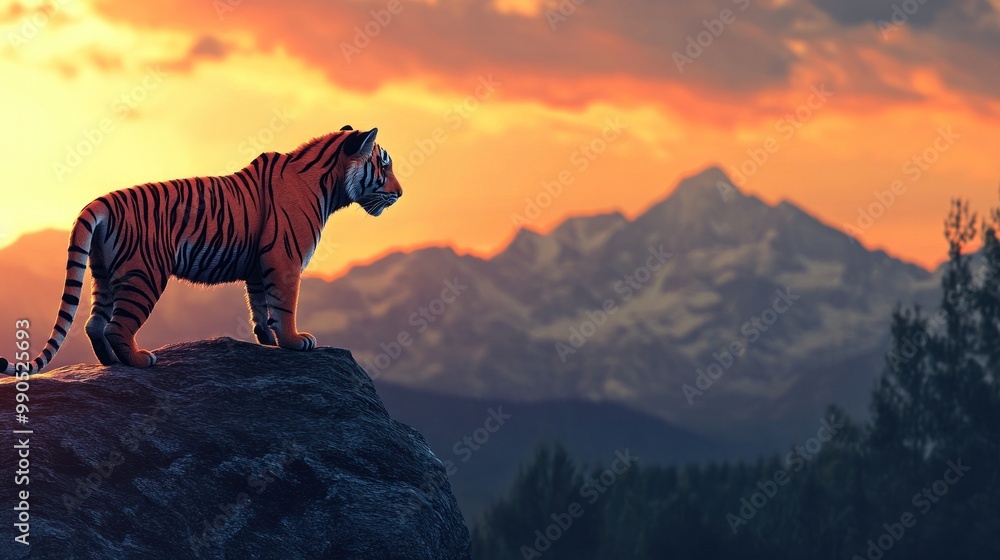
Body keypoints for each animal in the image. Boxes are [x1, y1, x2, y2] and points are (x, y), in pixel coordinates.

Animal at [1, 126, 402, 375]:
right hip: (145, 275)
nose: (400, 193)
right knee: (117, 325)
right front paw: (294, 342)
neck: (329, 187)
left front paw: (268, 340)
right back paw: (139, 361)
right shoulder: (284, 260)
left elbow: (262, 305)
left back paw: (110, 363)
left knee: (94, 322)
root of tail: (102, 201)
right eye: (384, 166)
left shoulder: (260, 265)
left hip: (105, 273)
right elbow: (285, 304)